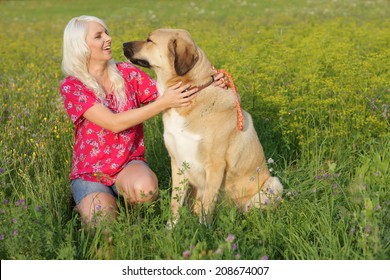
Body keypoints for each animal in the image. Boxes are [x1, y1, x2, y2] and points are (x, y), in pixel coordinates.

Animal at [123, 29, 282, 225]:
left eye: (149, 40)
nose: (122, 44)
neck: (191, 93)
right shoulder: (178, 162)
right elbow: (175, 203)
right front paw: (171, 228)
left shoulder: (215, 165)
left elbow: (207, 206)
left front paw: (203, 230)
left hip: (274, 185)